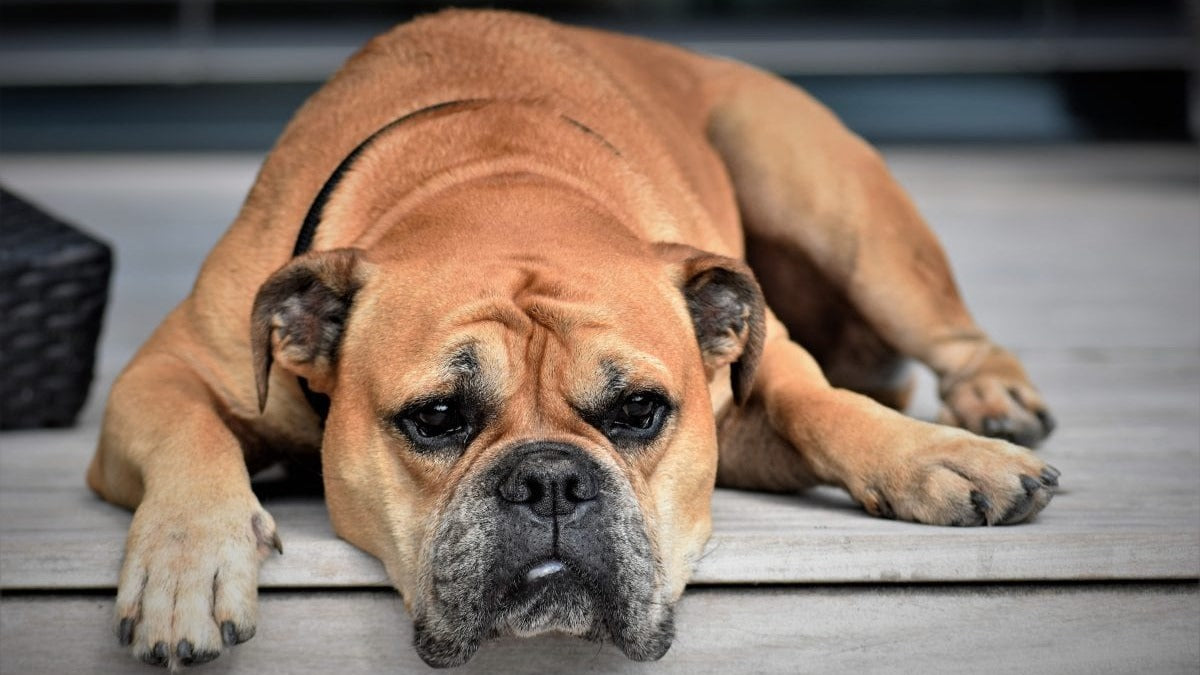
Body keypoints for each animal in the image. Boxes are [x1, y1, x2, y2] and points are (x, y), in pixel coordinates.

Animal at [88, 10, 1056, 667]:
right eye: (436, 416)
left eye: (640, 410)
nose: (550, 479)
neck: (494, 179)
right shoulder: (161, 372)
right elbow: (189, 430)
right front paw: (187, 563)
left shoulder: (757, 378)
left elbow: (821, 403)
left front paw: (937, 456)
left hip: (834, 202)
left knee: (948, 335)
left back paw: (992, 403)